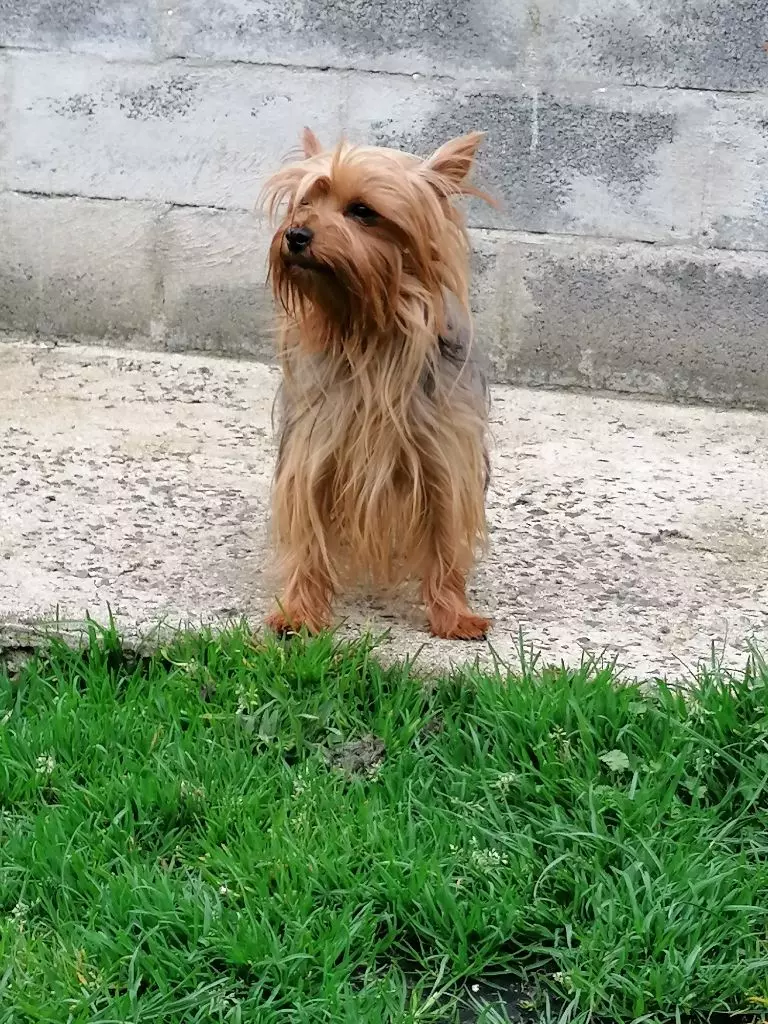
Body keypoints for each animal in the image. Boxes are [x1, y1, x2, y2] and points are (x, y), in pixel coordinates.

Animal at [261, 126, 492, 639]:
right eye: (305, 203)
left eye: (363, 211)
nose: (295, 235)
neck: (368, 332)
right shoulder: (314, 449)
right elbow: (307, 532)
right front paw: (300, 611)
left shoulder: (443, 454)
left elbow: (445, 535)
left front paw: (453, 613)